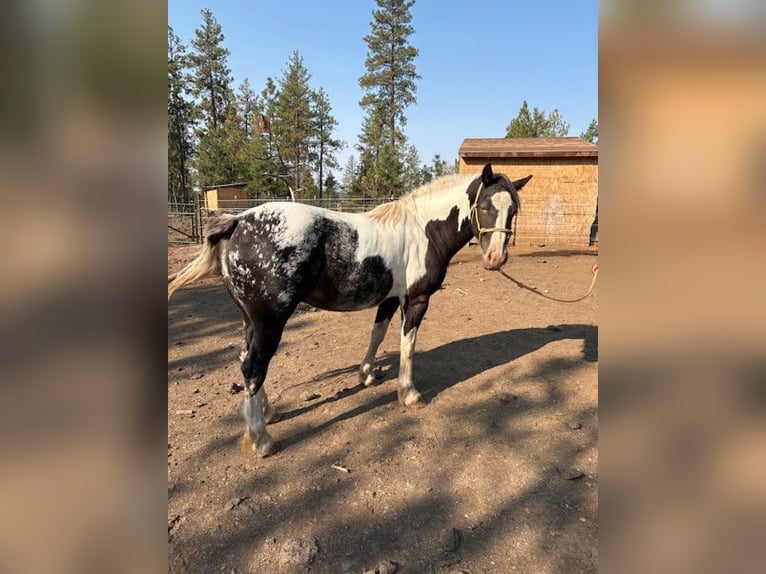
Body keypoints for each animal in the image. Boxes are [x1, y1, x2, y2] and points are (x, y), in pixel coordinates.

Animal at [168, 163, 532, 457]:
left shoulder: (389, 299)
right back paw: (261, 440)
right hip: (270, 321)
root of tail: (238, 222)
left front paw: (367, 374)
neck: (423, 230)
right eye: (484, 205)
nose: (495, 259)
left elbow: (377, 334)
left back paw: (268, 413)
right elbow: (407, 346)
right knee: (254, 367)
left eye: (512, 209)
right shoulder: (415, 300)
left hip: (250, 320)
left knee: (247, 362)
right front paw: (409, 394)